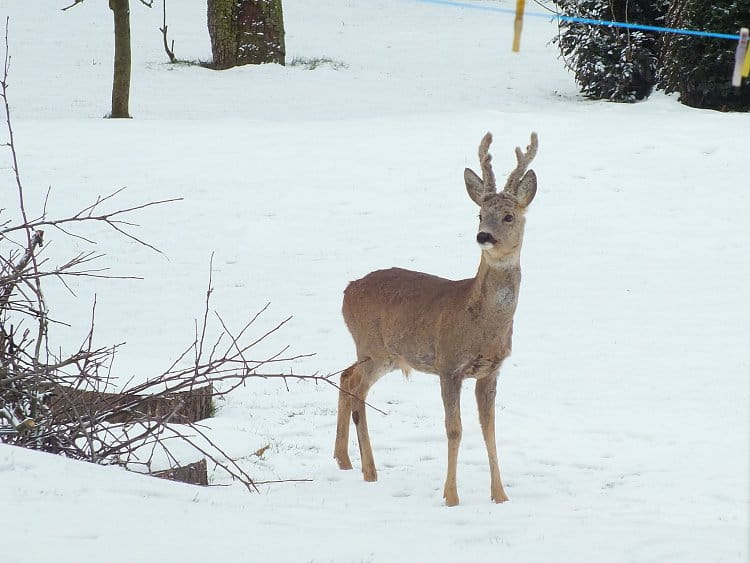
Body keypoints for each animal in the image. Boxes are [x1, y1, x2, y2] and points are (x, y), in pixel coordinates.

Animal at [336, 131, 540, 506]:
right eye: (479, 214)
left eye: (508, 216)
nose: (483, 236)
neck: (482, 325)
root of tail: (347, 290)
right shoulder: (448, 364)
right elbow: (454, 429)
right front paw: (451, 497)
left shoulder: (490, 371)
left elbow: (489, 430)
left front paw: (500, 496)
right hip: (374, 346)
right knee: (357, 387)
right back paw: (370, 471)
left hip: (382, 353)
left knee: (345, 375)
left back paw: (344, 460)